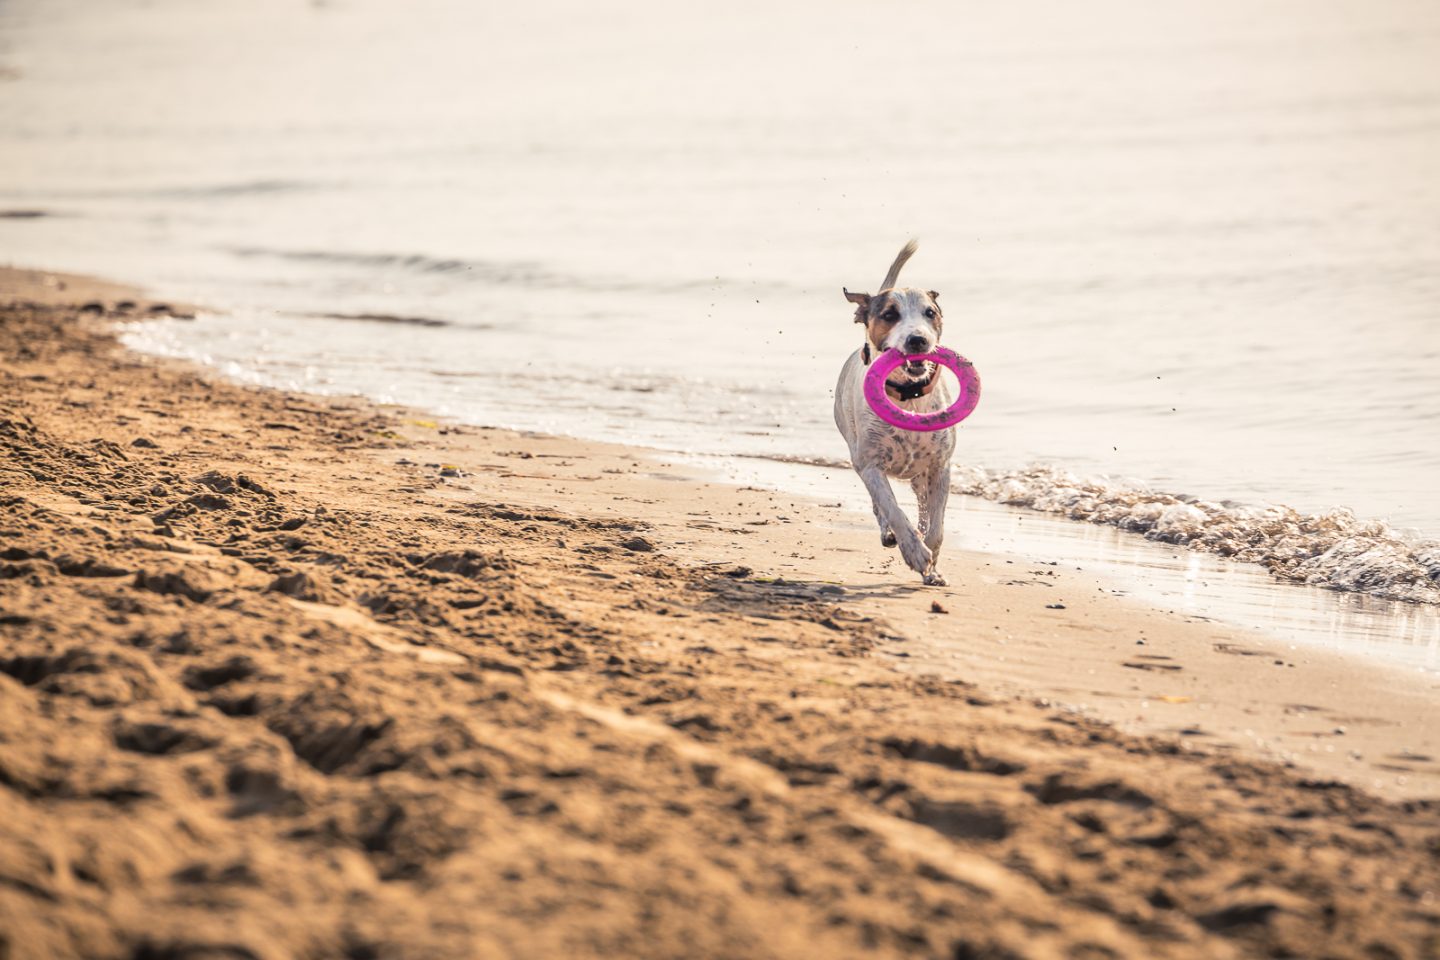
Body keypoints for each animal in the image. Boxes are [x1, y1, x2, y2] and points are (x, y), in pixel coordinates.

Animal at [835, 240, 956, 587]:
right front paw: (914, 552)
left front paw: (932, 566)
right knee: (881, 507)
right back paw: (890, 534)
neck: (908, 397)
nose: (918, 340)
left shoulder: (940, 467)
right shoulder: (870, 464)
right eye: (889, 315)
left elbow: (936, 527)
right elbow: (892, 509)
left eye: (930, 313)